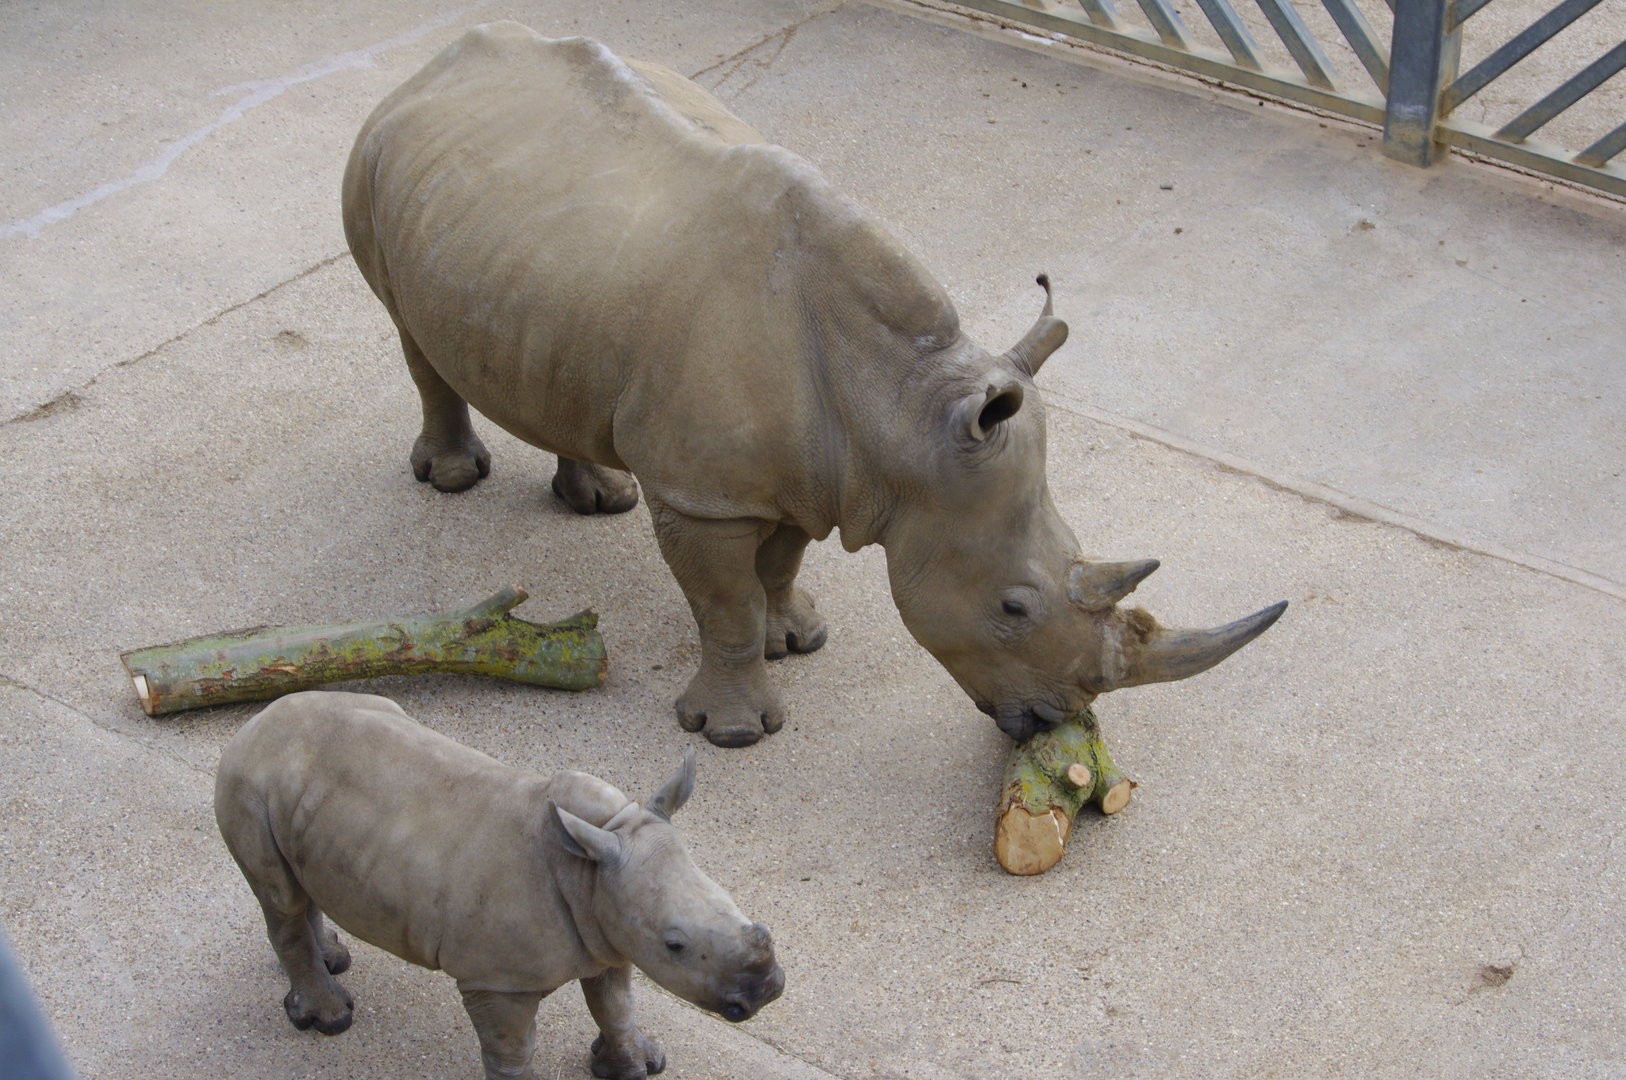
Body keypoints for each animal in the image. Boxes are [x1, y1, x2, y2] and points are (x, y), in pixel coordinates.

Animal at [214, 691, 783, 1080]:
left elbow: (616, 1007)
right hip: (245, 783)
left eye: (733, 904)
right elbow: (512, 1049)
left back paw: (335, 961)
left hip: (299, 791)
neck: (589, 868)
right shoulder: (495, 981)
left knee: (299, 882)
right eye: (675, 945)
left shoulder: (608, 932)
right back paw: (331, 1020)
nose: (770, 988)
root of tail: (253, 722)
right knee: (281, 897)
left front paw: (637, 1066)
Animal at [342, 23, 1285, 747]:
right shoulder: (705, 495)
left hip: (513, 232)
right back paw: (453, 480)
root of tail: (439, 60)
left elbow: (779, 562)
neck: (901, 407)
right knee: (409, 330)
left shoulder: (809, 471)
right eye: (1015, 606)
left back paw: (600, 499)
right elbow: (722, 601)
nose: (1055, 722)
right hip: (378, 162)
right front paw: (733, 732)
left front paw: (796, 639)